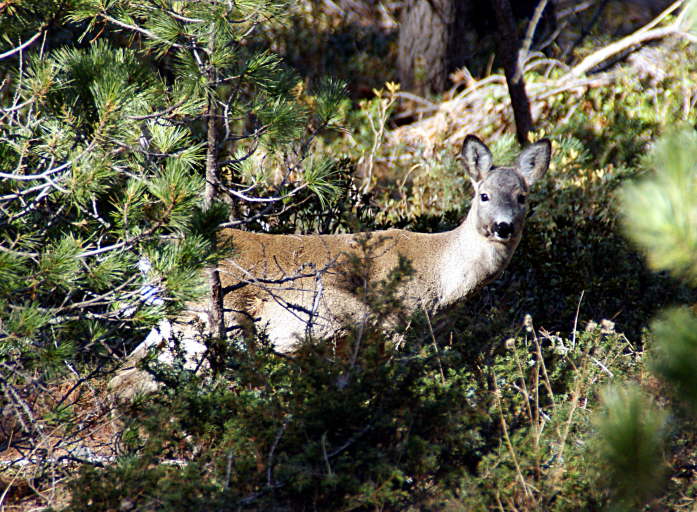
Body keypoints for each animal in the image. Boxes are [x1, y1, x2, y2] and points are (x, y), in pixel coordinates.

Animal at [108, 135, 551, 399]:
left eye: (523, 197)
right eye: (483, 195)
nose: (503, 227)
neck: (441, 277)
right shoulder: (392, 325)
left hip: (172, 326)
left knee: (123, 375)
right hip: (231, 319)